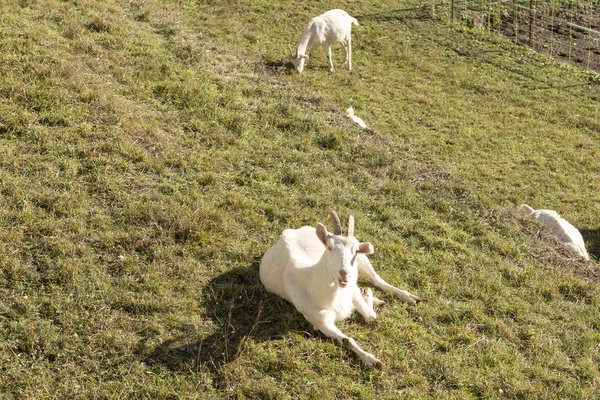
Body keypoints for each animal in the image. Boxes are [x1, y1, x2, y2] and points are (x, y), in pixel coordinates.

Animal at [258, 211, 422, 368]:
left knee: (377, 279)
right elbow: (347, 340)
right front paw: (372, 360)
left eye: (355, 250)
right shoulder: (320, 321)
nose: (344, 273)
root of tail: (293, 230)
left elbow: (371, 317)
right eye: (330, 247)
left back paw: (409, 297)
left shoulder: (352, 288)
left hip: (363, 261)